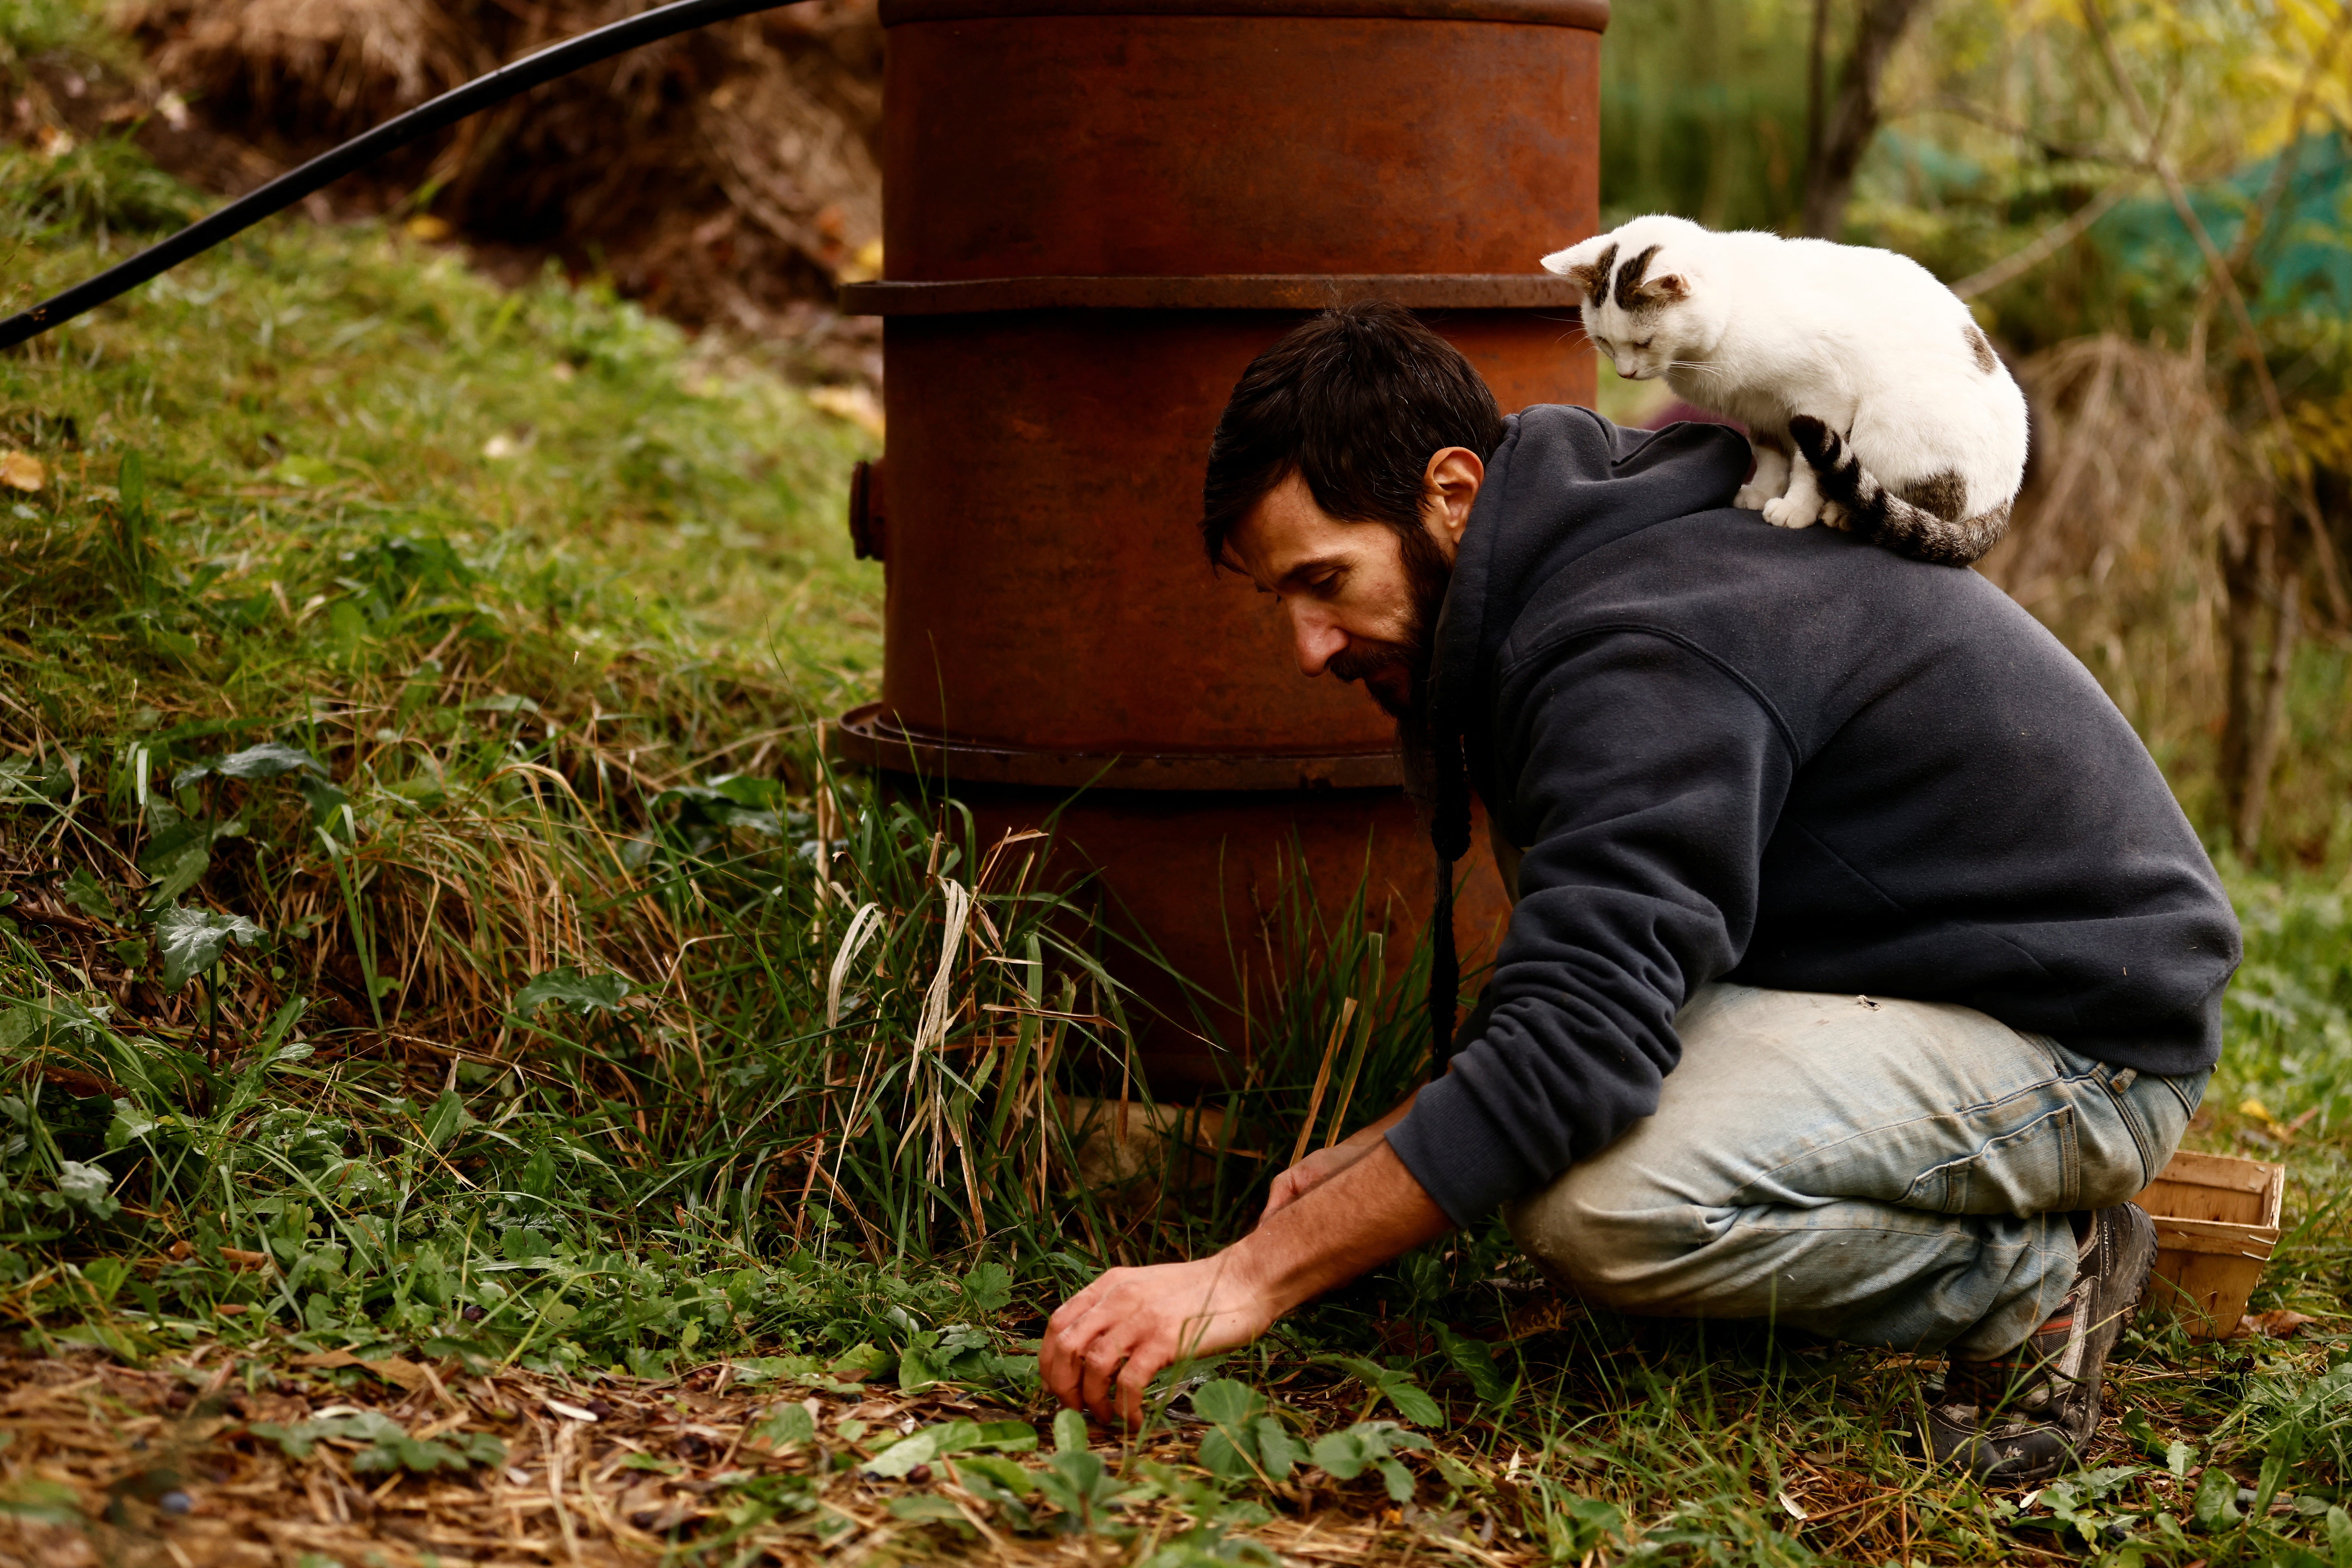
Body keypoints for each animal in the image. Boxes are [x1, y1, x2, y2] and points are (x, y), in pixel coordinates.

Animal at [1543, 213, 2022, 571]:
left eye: (1644, 343)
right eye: (1605, 344)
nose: (1625, 374)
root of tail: (2004, 500)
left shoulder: (1823, 399)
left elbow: (1809, 465)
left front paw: (1795, 509)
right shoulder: (1759, 410)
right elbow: (1771, 454)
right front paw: (1760, 494)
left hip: (1887, 429)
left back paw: (1844, 513)